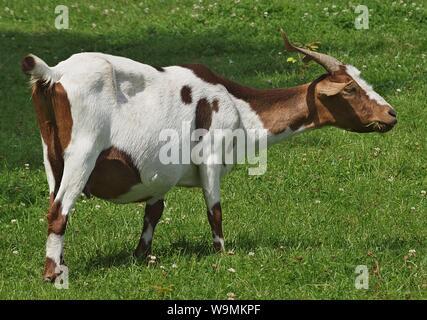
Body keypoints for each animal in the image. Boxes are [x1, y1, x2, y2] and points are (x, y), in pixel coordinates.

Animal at [22, 31, 398, 280]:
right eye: (350, 89)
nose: (391, 114)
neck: (239, 105)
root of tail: (54, 74)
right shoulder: (212, 157)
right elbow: (214, 211)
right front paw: (222, 254)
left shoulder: (160, 174)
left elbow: (153, 212)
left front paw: (140, 257)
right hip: (82, 153)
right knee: (58, 212)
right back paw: (52, 276)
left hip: (50, 157)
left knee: (54, 203)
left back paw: (61, 264)